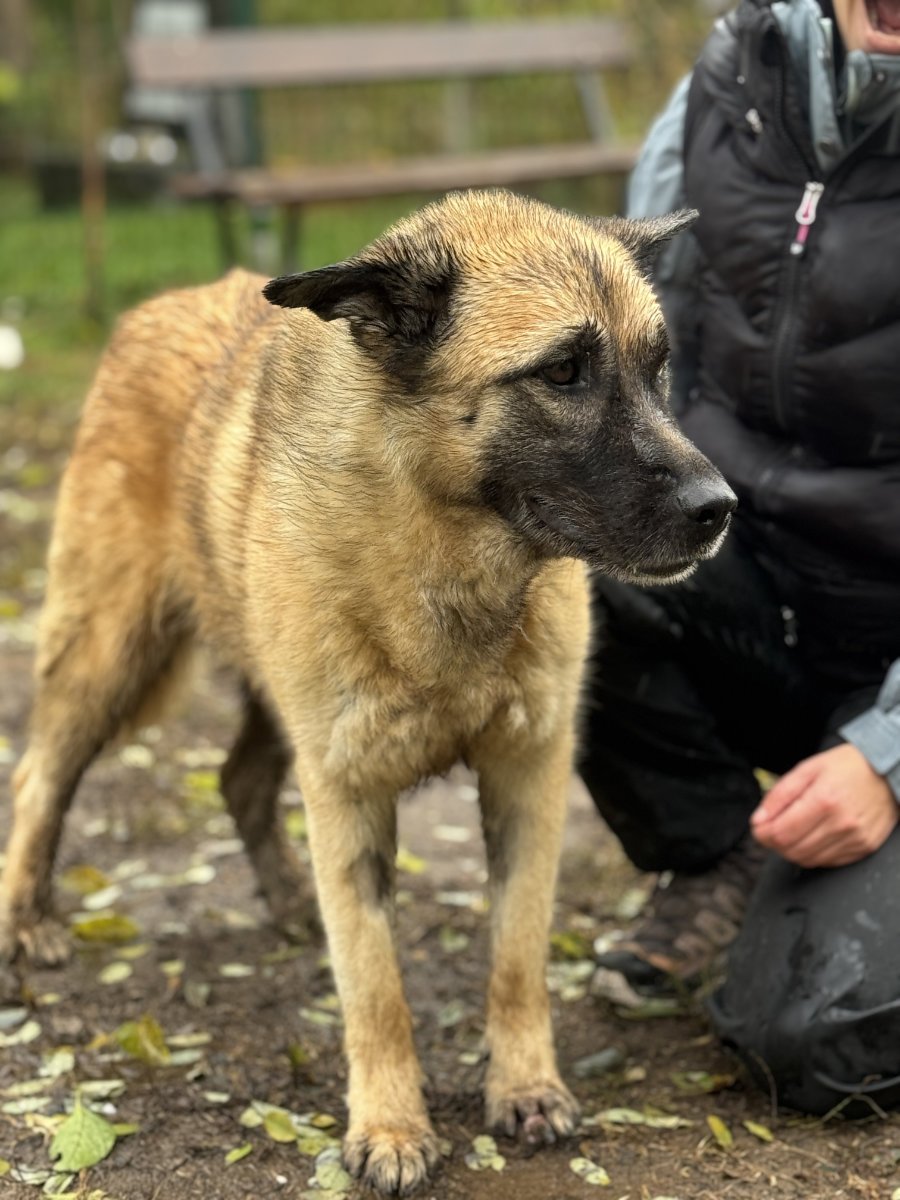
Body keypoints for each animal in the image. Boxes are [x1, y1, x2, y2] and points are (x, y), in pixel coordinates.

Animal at [0, 189, 734, 1194]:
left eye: (658, 369)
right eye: (565, 372)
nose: (720, 508)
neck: (447, 557)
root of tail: (155, 308)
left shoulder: (527, 781)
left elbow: (516, 959)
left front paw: (524, 1087)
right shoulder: (347, 793)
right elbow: (375, 984)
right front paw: (389, 1128)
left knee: (238, 781)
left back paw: (284, 900)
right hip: (110, 656)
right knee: (40, 779)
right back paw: (24, 924)